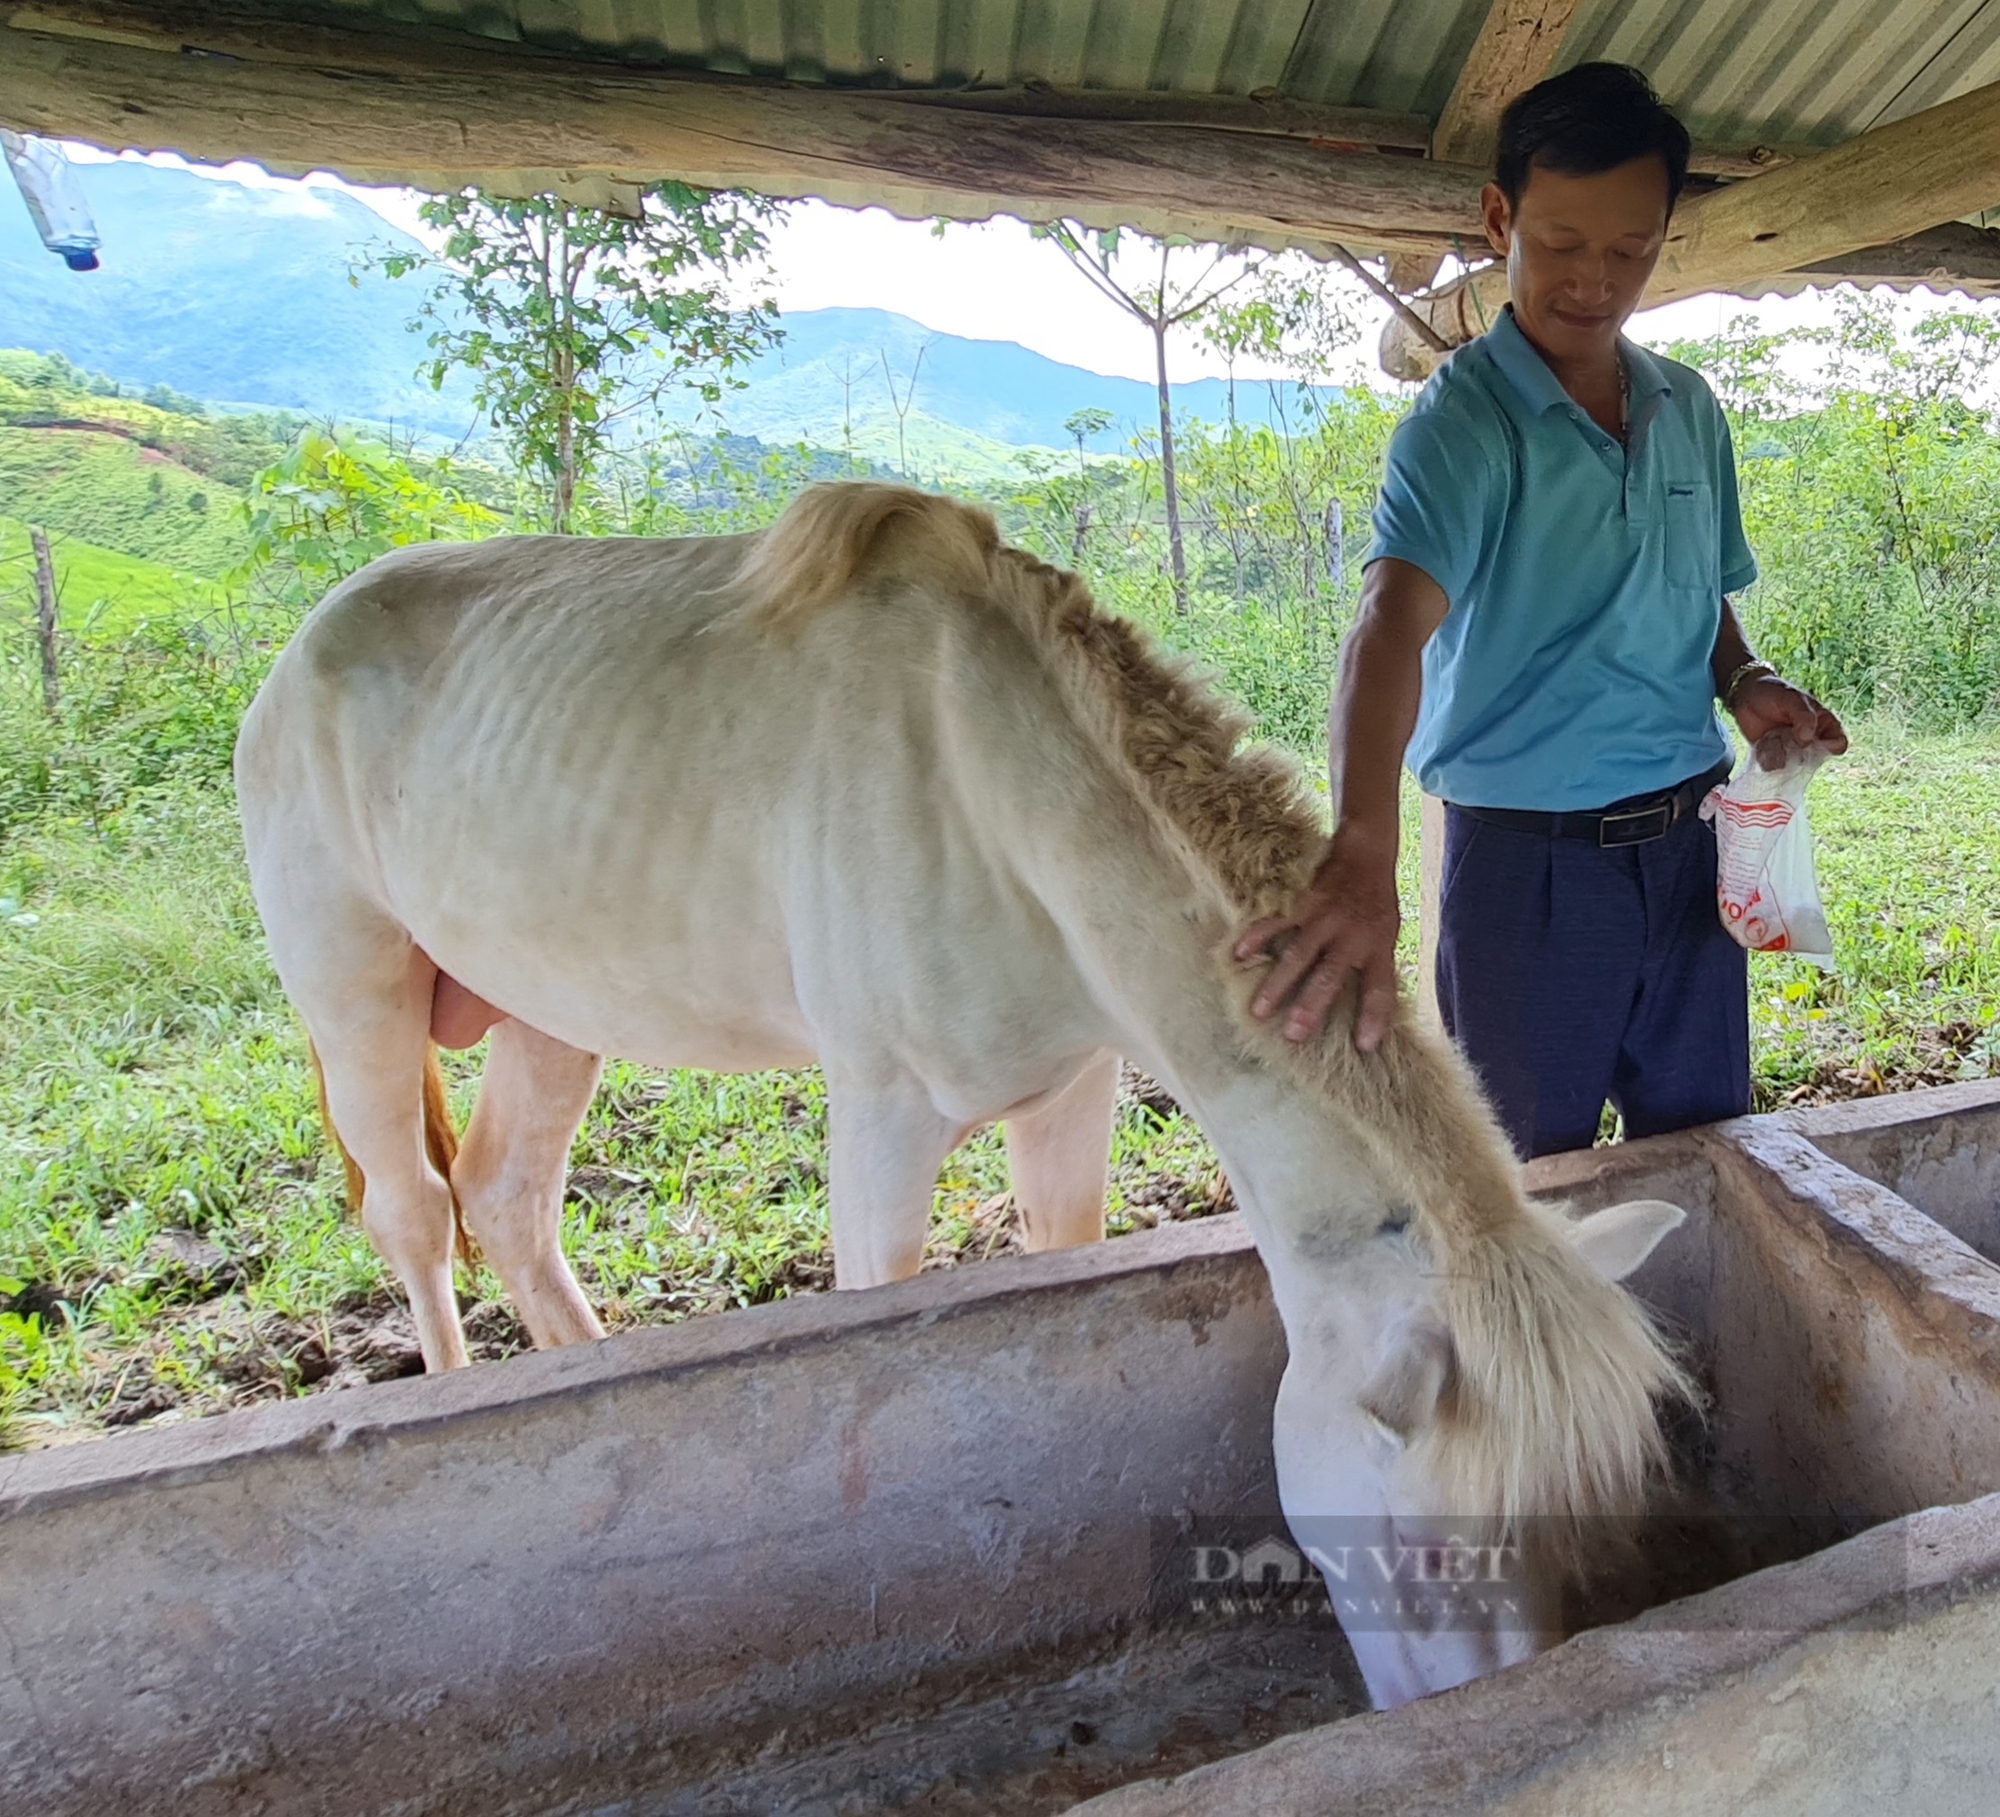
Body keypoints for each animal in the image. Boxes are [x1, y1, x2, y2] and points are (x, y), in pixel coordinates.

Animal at [242, 482, 1696, 1704]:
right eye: (1438, 1553)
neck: (990, 789)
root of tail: (300, 646)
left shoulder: (1072, 1086)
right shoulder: (882, 1123)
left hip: (555, 1006)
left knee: (509, 1197)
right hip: (353, 993)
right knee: (414, 1213)